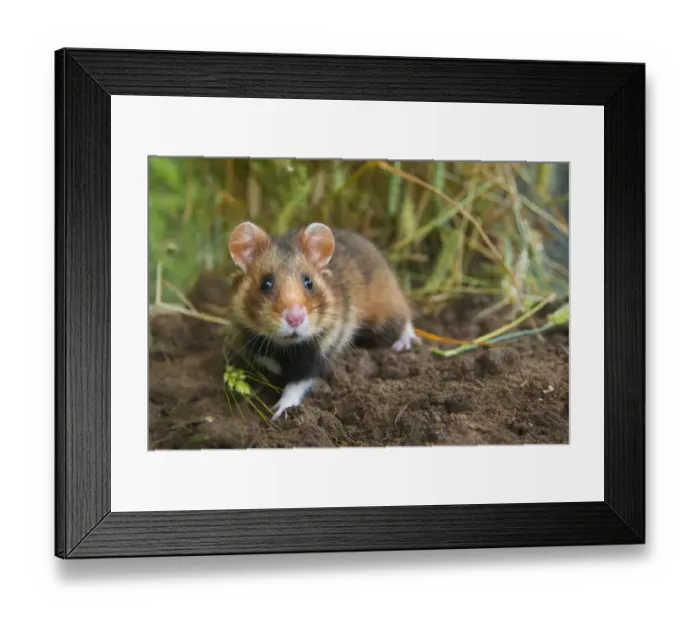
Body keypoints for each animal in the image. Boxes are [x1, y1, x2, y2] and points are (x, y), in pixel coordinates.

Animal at [223, 221, 420, 421]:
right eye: (266, 283)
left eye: (308, 282)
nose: (295, 319)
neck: (286, 347)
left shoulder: (319, 352)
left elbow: (297, 385)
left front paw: (278, 412)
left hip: (384, 306)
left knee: (404, 316)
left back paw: (404, 344)